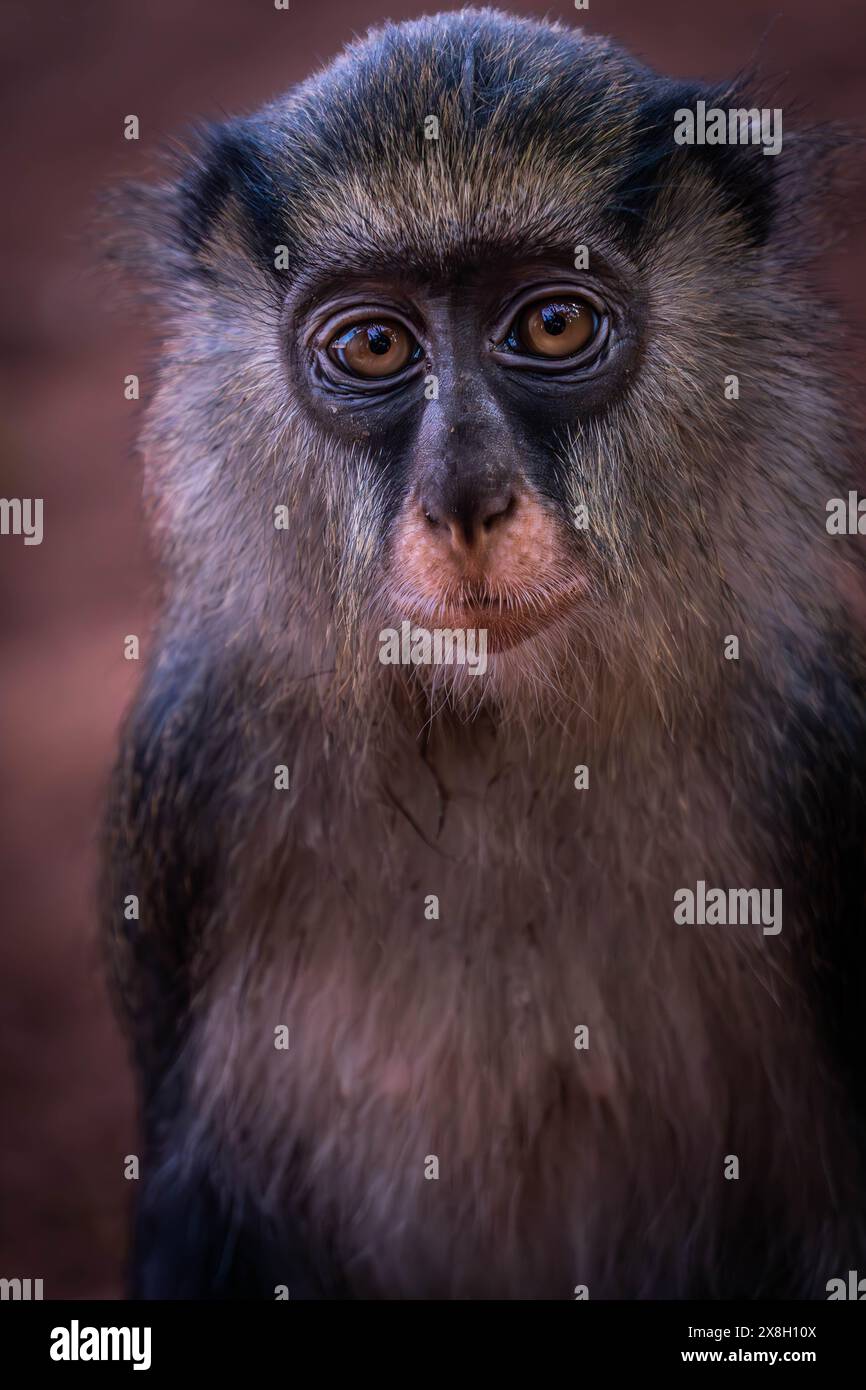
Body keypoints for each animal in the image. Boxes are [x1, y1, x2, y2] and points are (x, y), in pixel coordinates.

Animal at [102, 8, 866, 1299]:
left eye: (550, 323)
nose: (464, 497)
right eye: (372, 345)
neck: (500, 736)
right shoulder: (190, 766)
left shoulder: (823, 742)